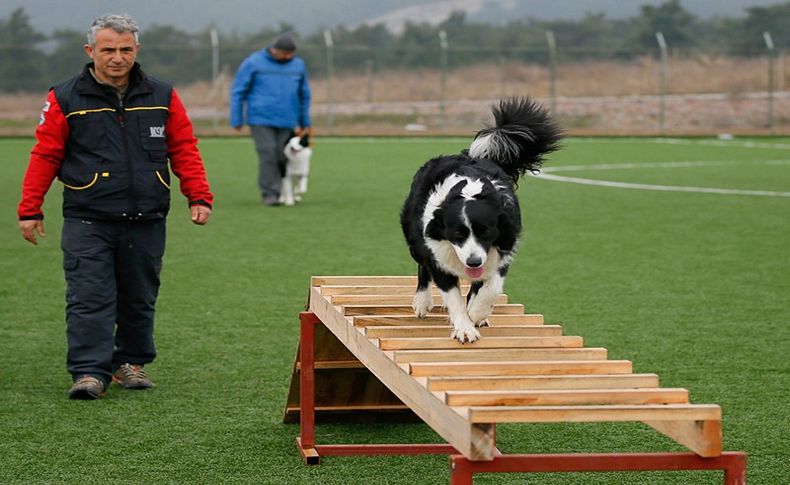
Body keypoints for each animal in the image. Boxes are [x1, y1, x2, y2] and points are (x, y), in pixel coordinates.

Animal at [402, 96, 564, 342]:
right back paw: (422, 302)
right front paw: (465, 328)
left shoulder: (503, 245)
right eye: (457, 234)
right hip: (414, 236)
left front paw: (477, 314)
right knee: (422, 264)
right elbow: (452, 295)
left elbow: (490, 287)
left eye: (485, 232)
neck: (470, 192)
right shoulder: (439, 252)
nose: (473, 262)